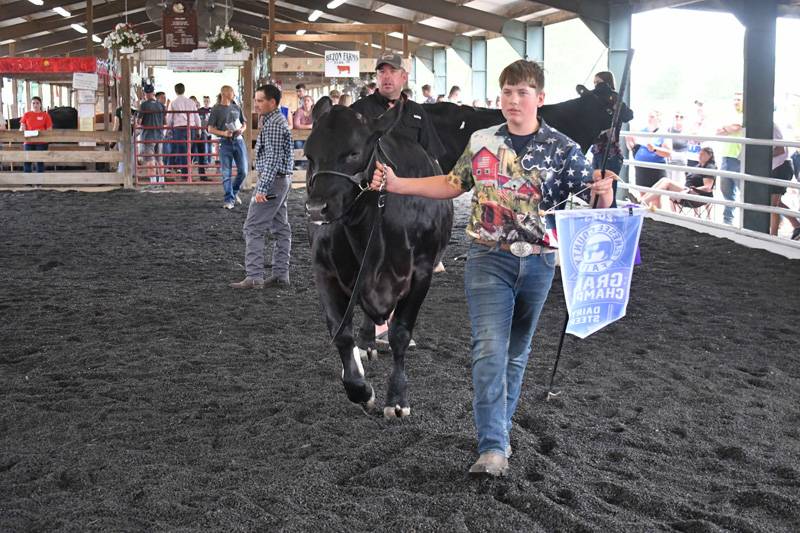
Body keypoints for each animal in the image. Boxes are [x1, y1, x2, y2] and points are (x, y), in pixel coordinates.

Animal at [306, 97, 454, 418]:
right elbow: (341, 333)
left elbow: (400, 333)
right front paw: (360, 389)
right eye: (309, 154)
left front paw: (397, 398)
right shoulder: (324, 270)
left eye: (353, 153)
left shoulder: (421, 273)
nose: (315, 208)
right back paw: (366, 341)